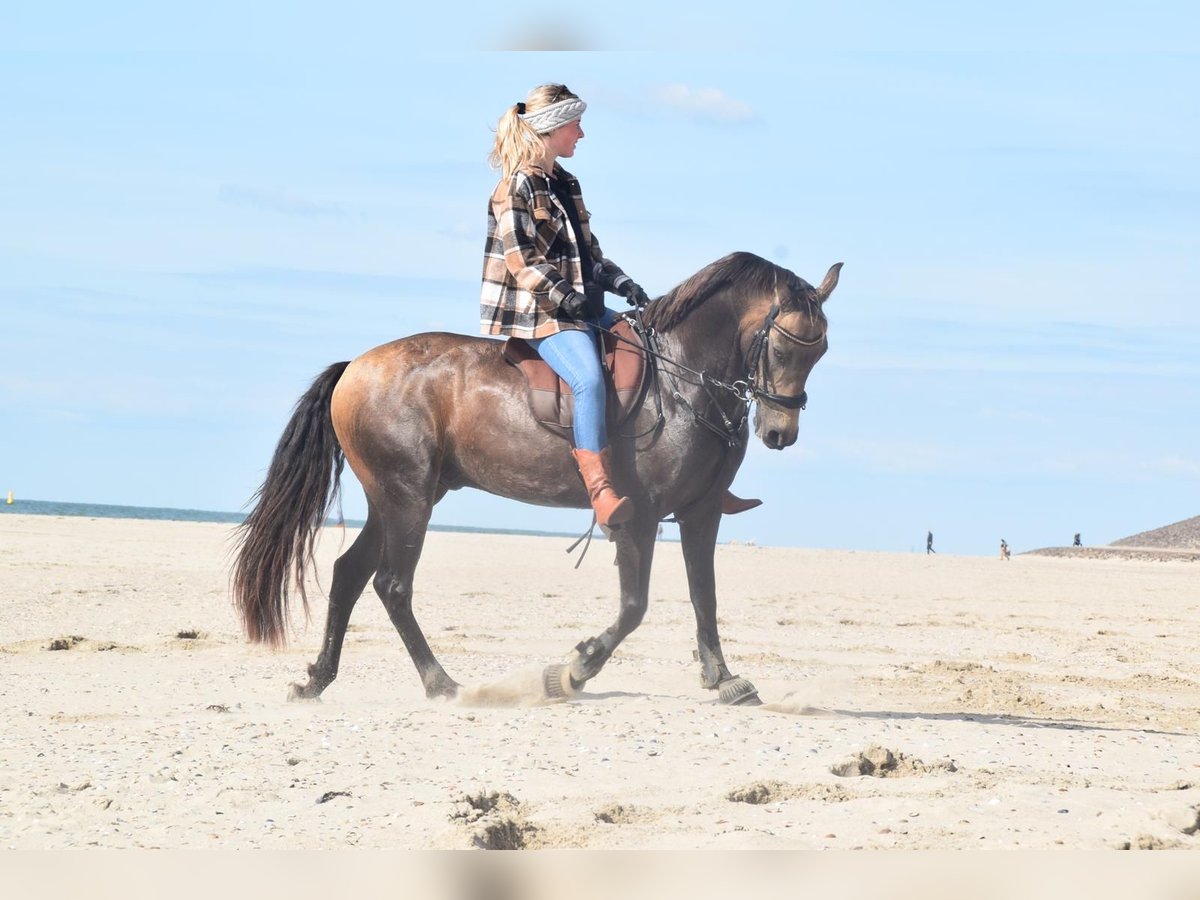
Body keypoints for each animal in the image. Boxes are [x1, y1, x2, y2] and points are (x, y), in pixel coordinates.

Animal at [229, 250, 840, 710]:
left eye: (823, 351)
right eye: (781, 346)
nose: (780, 432)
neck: (680, 380)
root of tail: (354, 367)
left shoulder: (701, 512)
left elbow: (703, 594)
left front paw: (724, 678)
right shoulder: (638, 517)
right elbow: (634, 606)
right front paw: (574, 669)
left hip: (395, 499)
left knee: (350, 575)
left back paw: (318, 679)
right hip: (407, 498)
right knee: (391, 585)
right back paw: (442, 684)